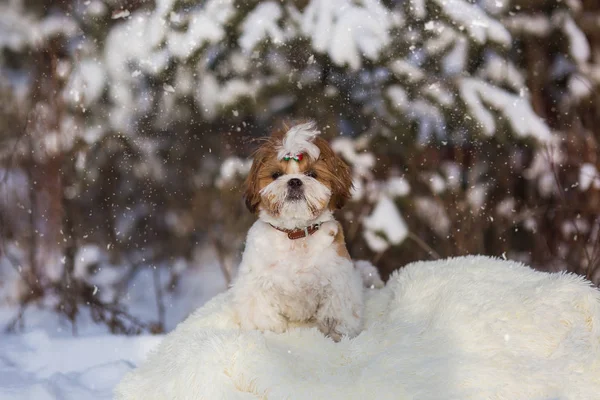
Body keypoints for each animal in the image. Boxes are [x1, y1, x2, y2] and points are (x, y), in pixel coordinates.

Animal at [232, 121, 382, 340]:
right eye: (276, 175)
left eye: (312, 174)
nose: (294, 180)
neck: (295, 235)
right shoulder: (255, 284)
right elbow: (262, 315)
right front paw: (270, 331)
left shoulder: (338, 283)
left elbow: (336, 316)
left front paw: (336, 335)